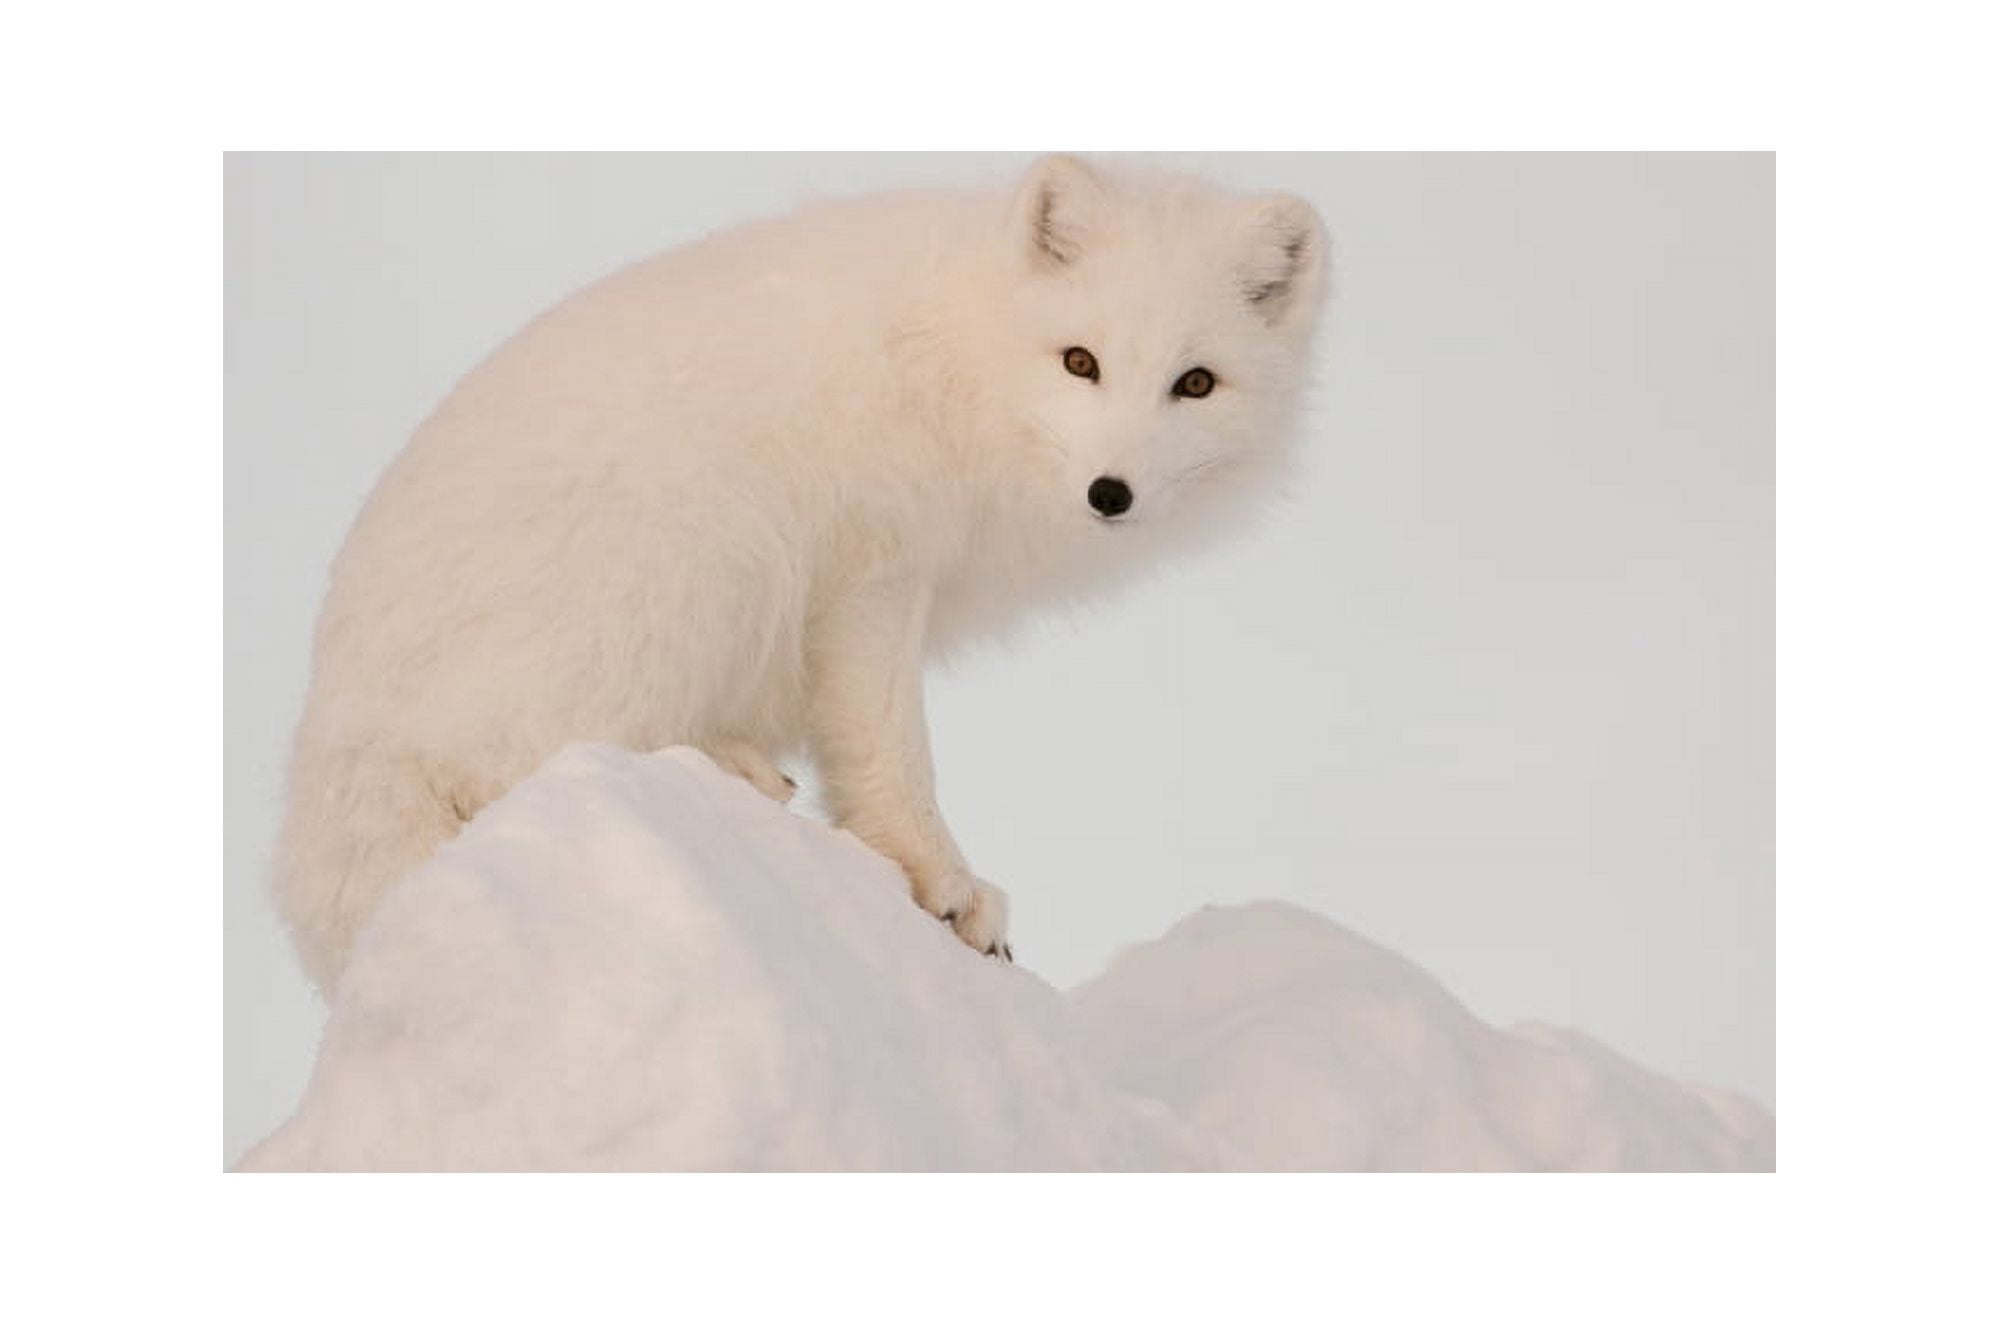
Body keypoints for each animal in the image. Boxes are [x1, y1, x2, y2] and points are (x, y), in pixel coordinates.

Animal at [276, 154, 1330, 990]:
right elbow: (890, 752)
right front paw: (944, 887)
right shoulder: (874, 572)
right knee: (542, 753)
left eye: (1196, 383)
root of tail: (340, 729)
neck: (965, 350)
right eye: (1081, 361)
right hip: (700, 554)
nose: (1111, 492)